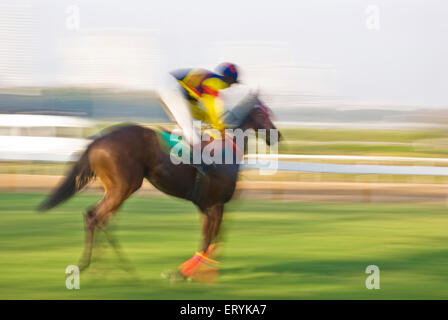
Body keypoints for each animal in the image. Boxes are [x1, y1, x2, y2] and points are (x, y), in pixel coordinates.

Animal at [39, 93, 284, 282]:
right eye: (263, 114)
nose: (278, 135)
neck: (227, 151)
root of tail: (98, 140)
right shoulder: (216, 204)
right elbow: (210, 240)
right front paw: (183, 274)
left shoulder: (206, 206)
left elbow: (210, 238)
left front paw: (196, 273)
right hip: (125, 186)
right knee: (95, 217)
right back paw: (97, 267)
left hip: (115, 188)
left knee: (100, 219)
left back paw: (109, 268)